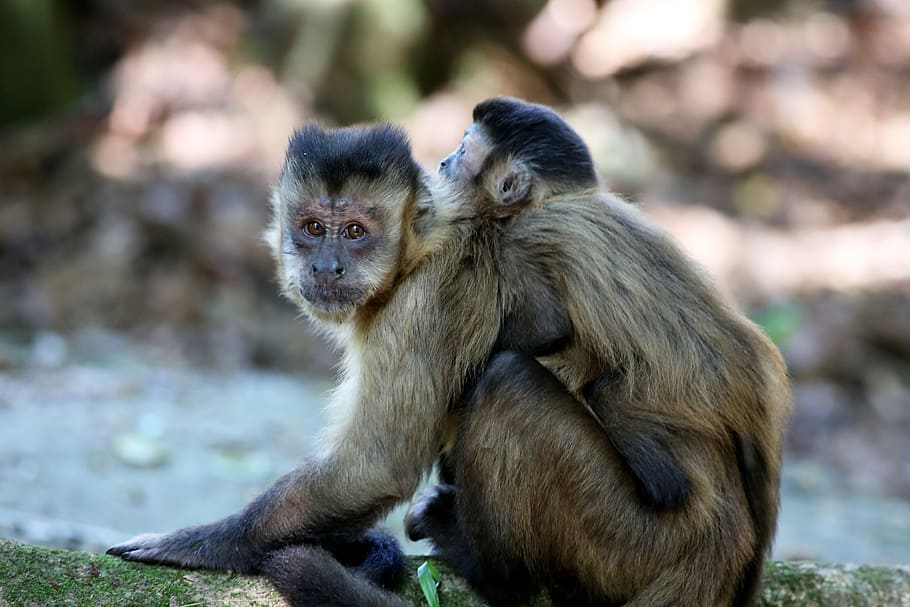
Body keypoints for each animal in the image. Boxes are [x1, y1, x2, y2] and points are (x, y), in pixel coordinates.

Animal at [401, 97, 792, 607]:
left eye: (464, 150)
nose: (445, 162)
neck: (551, 202)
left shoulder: (525, 237)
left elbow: (547, 328)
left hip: (627, 539)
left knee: (510, 382)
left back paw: (497, 577)